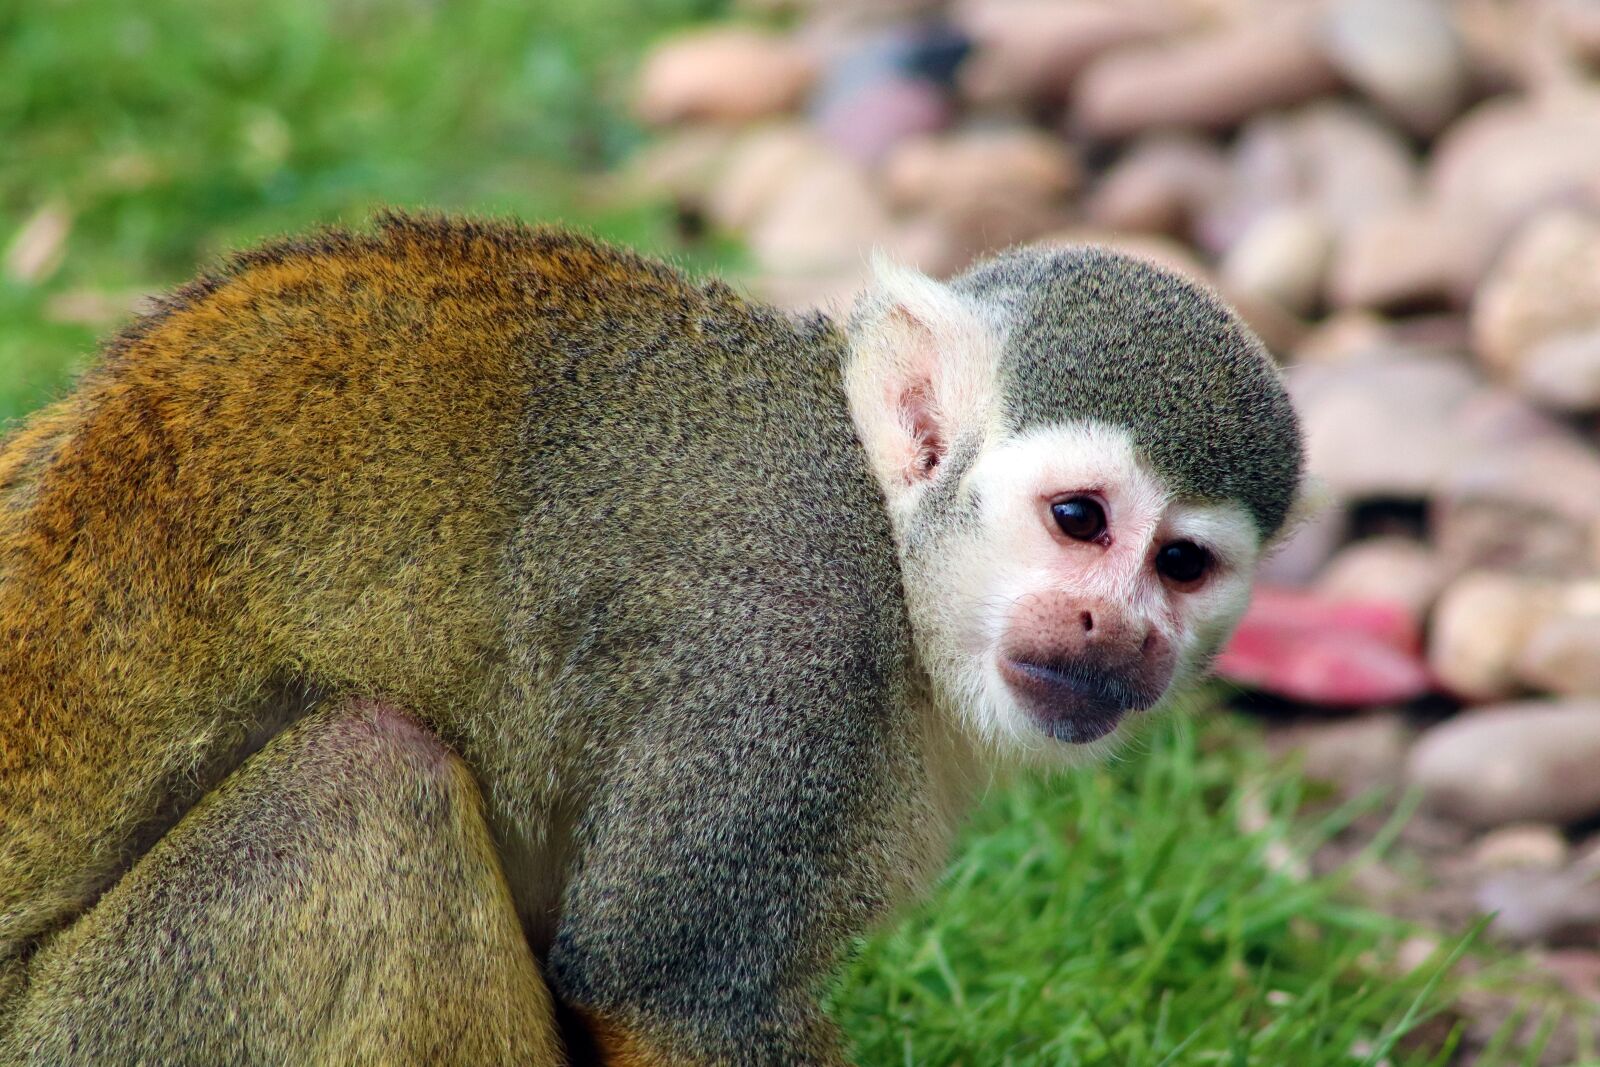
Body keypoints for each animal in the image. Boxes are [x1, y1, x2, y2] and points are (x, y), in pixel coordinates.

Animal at [0, 213, 1301, 1065]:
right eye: (1079, 520)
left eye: (1181, 565)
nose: (1118, 630)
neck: (889, 556)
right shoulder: (782, 646)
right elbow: (662, 986)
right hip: (107, 1030)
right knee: (370, 772)